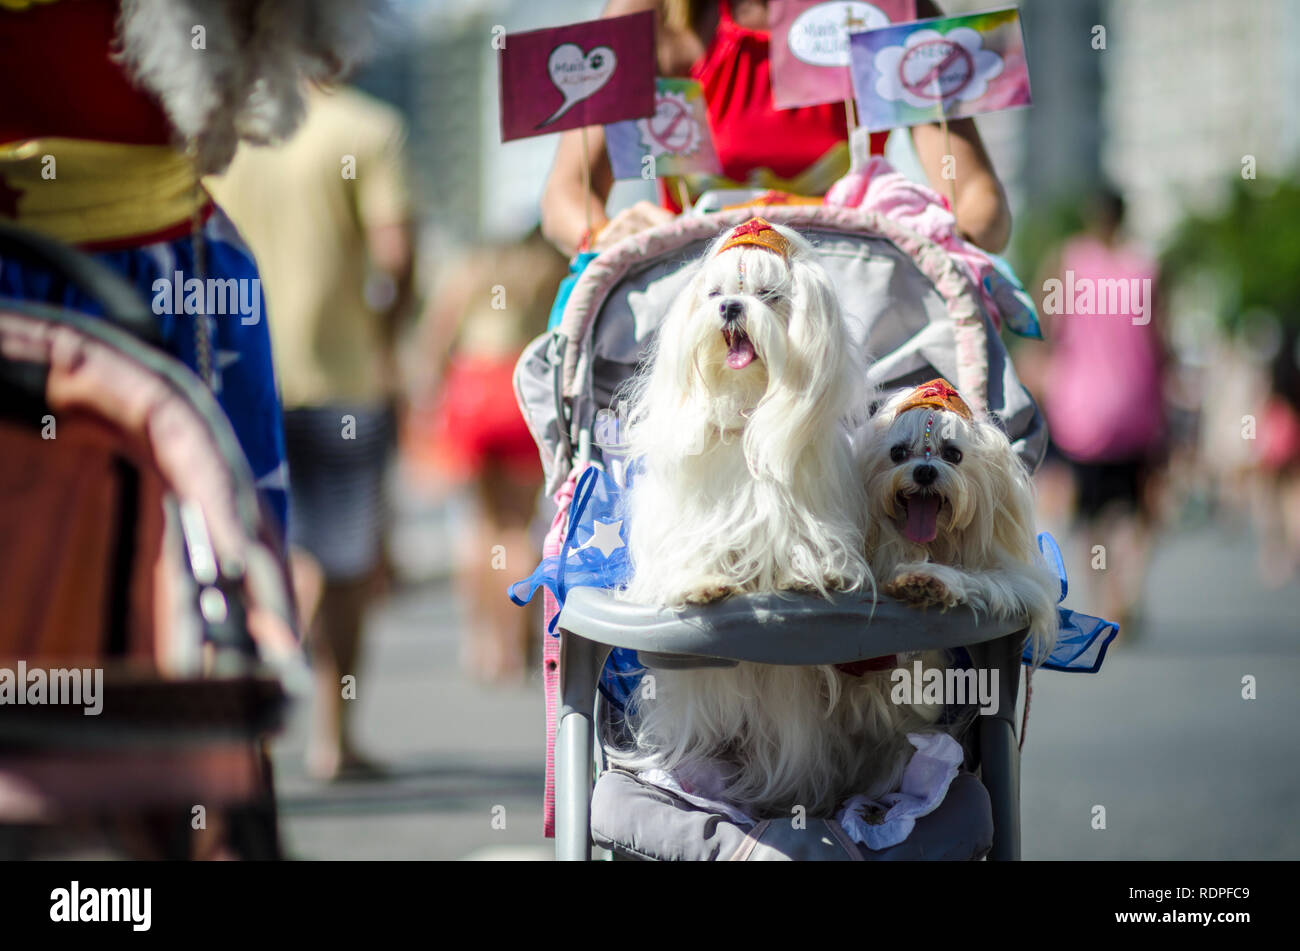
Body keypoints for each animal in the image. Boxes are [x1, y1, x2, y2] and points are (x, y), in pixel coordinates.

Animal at [608, 216, 935, 815]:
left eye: (768, 294)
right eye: (715, 293)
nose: (731, 308)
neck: (746, 410)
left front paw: (813, 575)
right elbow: (693, 555)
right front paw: (702, 585)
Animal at [857, 376, 1060, 659]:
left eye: (953, 454)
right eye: (897, 453)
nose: (925, 471)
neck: (935, 544)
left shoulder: (1018, 582)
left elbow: (986, 580)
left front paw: (926, 579)